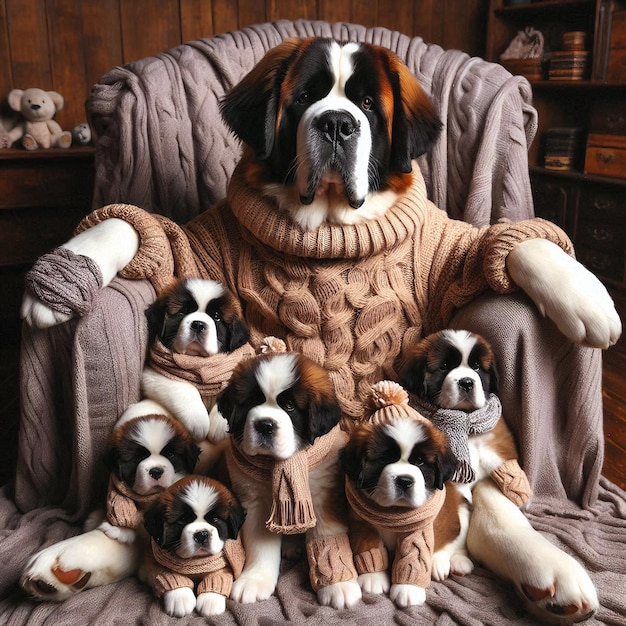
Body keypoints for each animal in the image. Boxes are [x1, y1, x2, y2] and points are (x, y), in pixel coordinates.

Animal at [140, 276, 250, 442]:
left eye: (216, 316)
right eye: (183, 311)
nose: (198, 324)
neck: (200, 361)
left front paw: (220, 423)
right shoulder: (153, 373)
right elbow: (185, 387)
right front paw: (199, 421)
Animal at [141, 476, 246, 616]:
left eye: (215, 519)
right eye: (182, 519)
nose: (201, 534)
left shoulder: (223, 564)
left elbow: (217, 576)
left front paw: (210, 600)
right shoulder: (156, 561)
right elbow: (170, 575)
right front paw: (180, 598)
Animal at [216, 352, 358, 608]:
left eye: (290, 406)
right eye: (252, 401)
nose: (265, 425)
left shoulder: (322, 496)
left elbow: (326, 536)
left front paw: (338, 584)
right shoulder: (256, 502)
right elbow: (261, 543)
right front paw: (255, 580)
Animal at [398, 330, 596, 620]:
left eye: (477, 367)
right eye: (444, 366)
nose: (467, 382)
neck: (466, 427)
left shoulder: (496, 462)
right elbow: (445, 515)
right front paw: (436, 556)